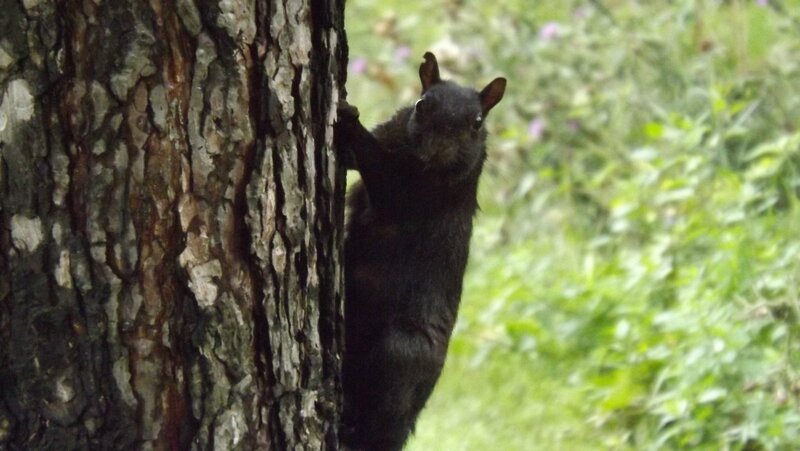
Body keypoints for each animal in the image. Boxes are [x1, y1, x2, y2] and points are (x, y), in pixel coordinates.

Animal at [335, 52, 506, 451]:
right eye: (421, 104)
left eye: (477, 122)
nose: (437, 149)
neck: (420, 163)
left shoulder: (426, 196)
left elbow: (388, 187)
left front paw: (350, 119)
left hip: (403, 354)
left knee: (383, 414)